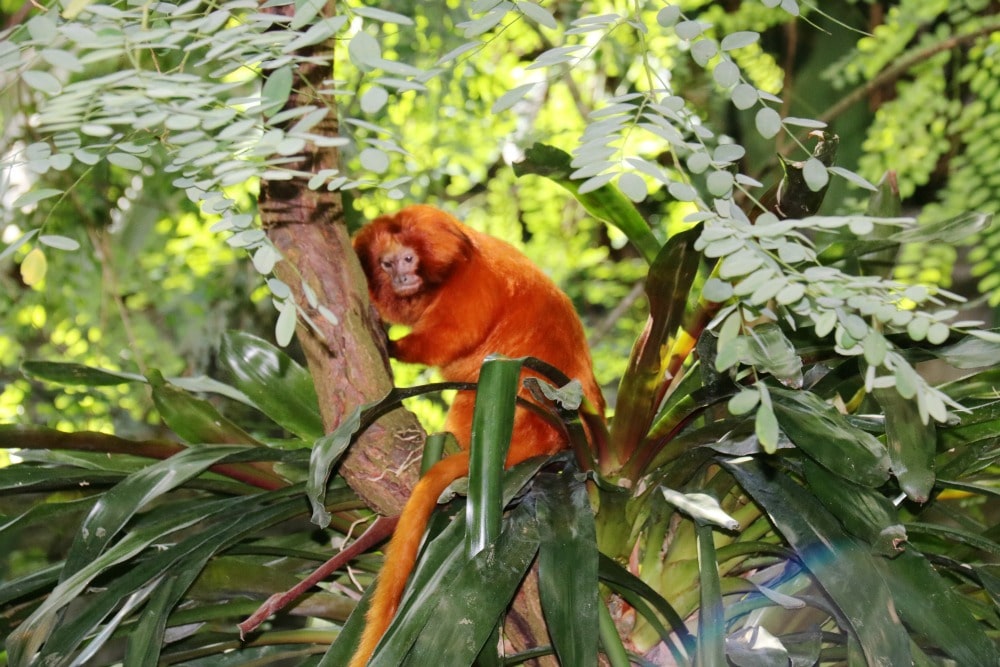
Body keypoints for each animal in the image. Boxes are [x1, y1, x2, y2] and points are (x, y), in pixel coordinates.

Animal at [352, 206, 600, 664]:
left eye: (408, 259)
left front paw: (395, 346)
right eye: (386, 263)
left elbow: (452, 337)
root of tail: (549, 436)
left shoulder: (472, 283)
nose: (401, 277)